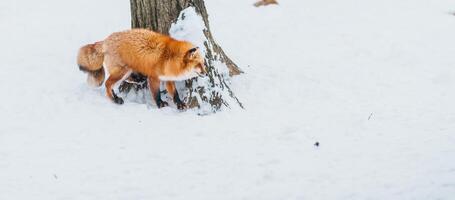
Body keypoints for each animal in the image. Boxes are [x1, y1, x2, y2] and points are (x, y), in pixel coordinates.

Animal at [78, 28, 207, 109]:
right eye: (198, 65)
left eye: (203, 63)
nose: (206, 73)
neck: (169, 56)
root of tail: (106, 40)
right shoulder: (154, 77)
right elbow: (156, 93)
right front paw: (160, 104)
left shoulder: (168, 78)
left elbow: (175, 93)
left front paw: (180, 104)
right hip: (122, 71)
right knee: (107, 83)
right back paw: (114, 99)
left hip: (126, 70)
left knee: (119, 81)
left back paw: (136, 81)